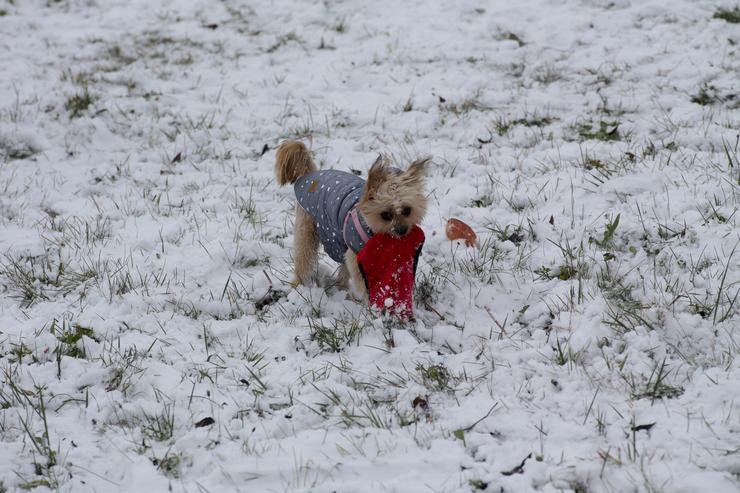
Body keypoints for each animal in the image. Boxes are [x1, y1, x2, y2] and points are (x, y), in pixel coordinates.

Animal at [276, 139, 428, 300]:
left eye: (407, 210)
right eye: (386, 215)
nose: (402, 230)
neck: (371, 231)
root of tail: (312, 172)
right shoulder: (356, 256)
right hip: (307, 232)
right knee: (303, 260)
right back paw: (298, 286)